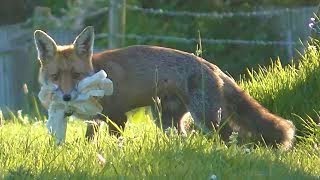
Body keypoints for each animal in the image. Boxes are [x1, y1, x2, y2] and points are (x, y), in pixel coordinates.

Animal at [33, 26, 296, 150]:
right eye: (55, 76)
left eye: (77, 75)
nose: (67, 97)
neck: (95, 71)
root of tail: (211, 65)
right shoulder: (95, 122)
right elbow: (90, 140)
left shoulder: (117, 118)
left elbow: (116, 143)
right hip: (166, 120)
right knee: (185, 138)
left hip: (207, 118)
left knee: (233, 137)